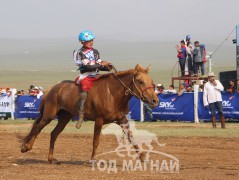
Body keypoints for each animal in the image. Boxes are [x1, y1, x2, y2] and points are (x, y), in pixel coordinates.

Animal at [20, 64, 159, 163]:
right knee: (37, 128)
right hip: (48, 115)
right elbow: (96, 140)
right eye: (140, 81)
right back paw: (26, 147)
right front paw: (93, 159)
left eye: (151, 81)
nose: (155, 100)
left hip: (64, 118)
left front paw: (142, 156)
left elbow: (131, 136)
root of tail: (52, 89)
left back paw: (51, 158)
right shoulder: (99, 120)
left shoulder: (122, 119)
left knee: (54, 134)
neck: (113, 94)